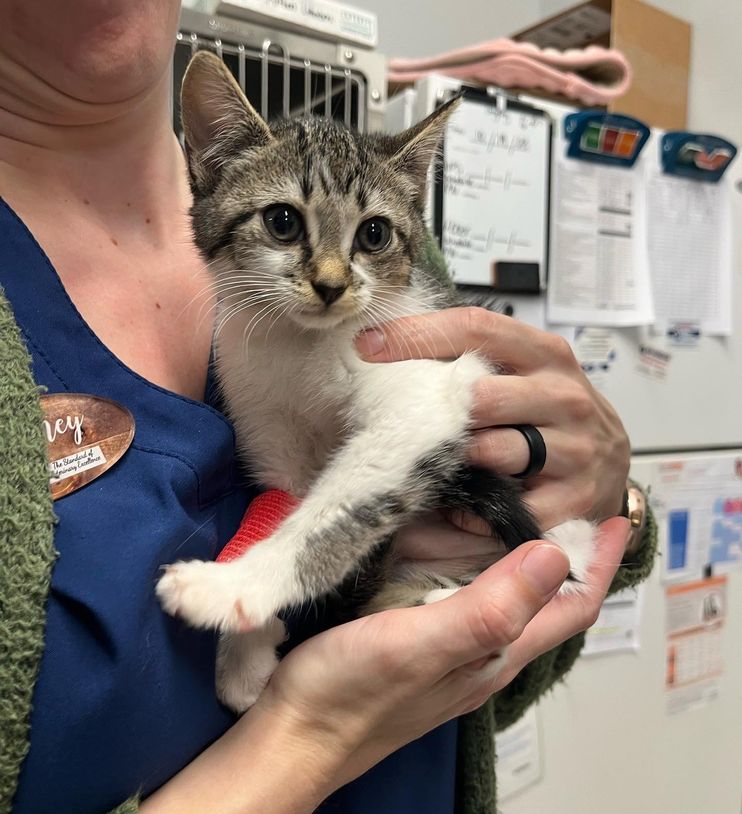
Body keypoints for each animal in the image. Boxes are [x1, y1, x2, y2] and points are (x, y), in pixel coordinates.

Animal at [154, 52, 596, 712]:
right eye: (282, 221)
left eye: (374, 234)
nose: (331, 285)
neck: (301, 346)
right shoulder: (270, 429)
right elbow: (284, 506)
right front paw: (246, 654)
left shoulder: (425, 393)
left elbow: (329, 513)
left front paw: (234, 587)